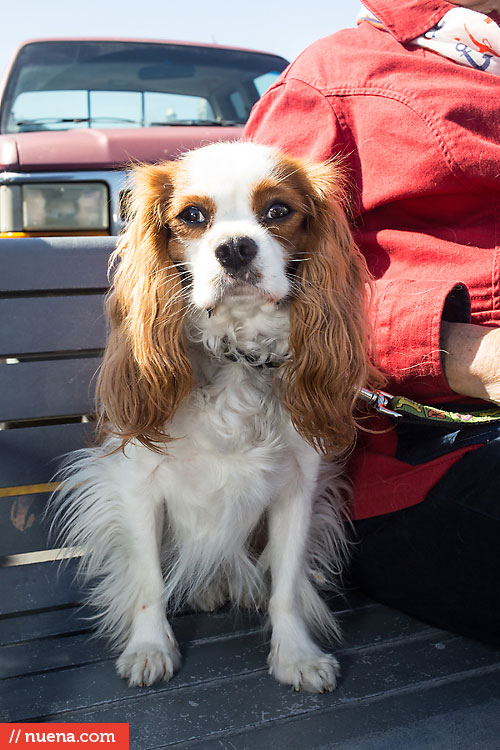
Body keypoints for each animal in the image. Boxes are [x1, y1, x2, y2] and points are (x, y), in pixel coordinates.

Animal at [51, 141, 378, 692]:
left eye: (278, 211)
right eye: (192, 216)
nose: (236, 248)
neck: (237, 354)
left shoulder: (299, 487)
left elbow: (287, 585)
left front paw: (296, 655)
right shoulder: (136, 486)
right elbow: (148, 580)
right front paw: (149, 648)